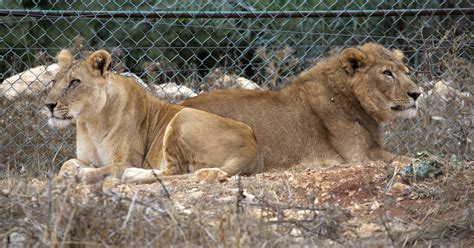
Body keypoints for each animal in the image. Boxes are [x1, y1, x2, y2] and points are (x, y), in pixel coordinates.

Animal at [44, 49, 262, 183]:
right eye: (54, 81)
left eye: (74, 82)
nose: (48, 105)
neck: (91, 122)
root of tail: (252, 148)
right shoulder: (87, 157)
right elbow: (66, 164)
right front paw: (69, 170)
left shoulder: (125, 161)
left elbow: (99, 171)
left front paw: (78, 175)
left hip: (182, 117)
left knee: (175, 171)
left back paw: (132, 175)